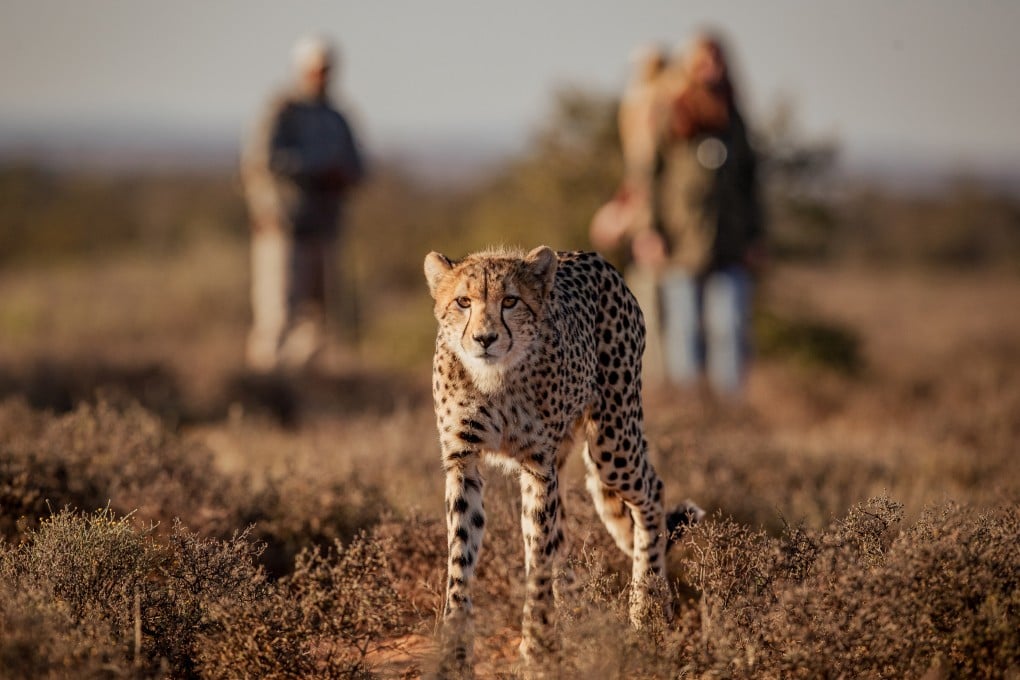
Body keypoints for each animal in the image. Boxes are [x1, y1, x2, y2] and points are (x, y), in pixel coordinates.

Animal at [424, 245, 702, 673]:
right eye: (463, 302)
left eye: (510, 301)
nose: (485, 339)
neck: (495, 378)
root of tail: (592, 256)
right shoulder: (463, 462)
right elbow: (461, 558)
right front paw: (455, 653)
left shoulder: (539, 466)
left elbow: (537, 557)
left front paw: (536, 648)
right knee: (563, 537)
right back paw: (576, 617)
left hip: (612, 439)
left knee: (652, 492)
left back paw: (645, 611)